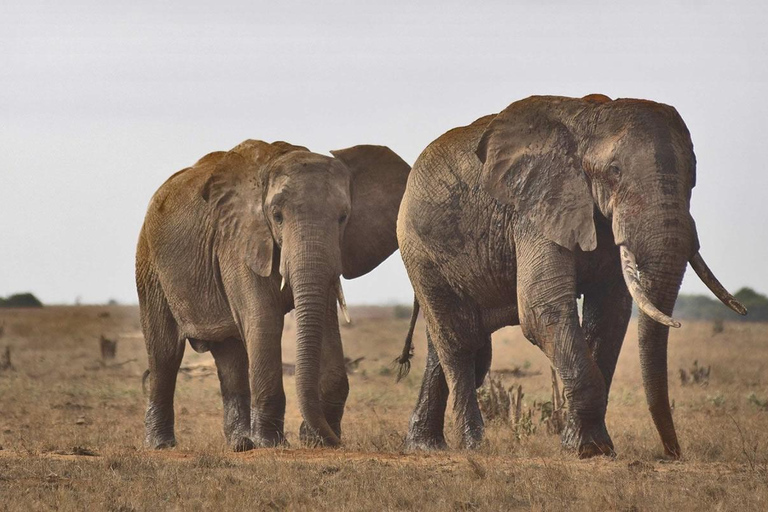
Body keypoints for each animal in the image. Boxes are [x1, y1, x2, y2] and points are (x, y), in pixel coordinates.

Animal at [135, 139, 412, 448]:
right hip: (149, 263)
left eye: (343, 218)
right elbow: (264, 319)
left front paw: (314, 440)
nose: (336, 442)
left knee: (230, 356)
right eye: (277, 217)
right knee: (166, 353)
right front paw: (272, 443)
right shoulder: (239, 241)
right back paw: (161, 444)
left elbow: (326, 321)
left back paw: (241, 444)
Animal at [396, 94, 744, 458]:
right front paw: (588, 450)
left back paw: (425, 446)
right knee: (460, 343)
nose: (671, 452)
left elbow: (610, 313)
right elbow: (541, 309)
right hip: (420, 251)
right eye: (614, 171)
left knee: (444, 346)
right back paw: (473, 445)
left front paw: (591, 446)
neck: (587, 121)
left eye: (693, 176)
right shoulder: (536, 208)